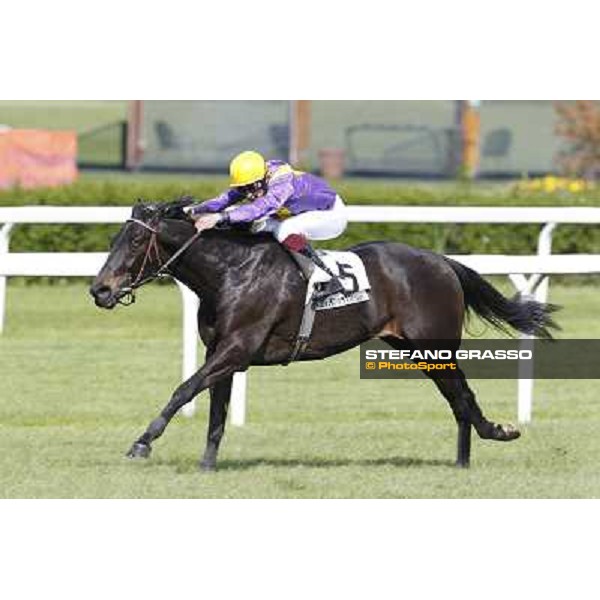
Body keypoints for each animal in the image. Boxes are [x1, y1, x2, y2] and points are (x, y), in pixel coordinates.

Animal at [89, 199, 556, 472]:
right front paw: (207, 465)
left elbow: (184, 389)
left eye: (135, 241)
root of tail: (442, 261)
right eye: (115, 237)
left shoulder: (237, 348)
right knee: (456, 398)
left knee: (462, 396)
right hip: (415, 349)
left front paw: (142, 442)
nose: (100, 290)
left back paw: (494, 434)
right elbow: (216, 412)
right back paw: (463, 460)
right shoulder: (221, 351)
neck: (230, 272)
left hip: (434, 346)